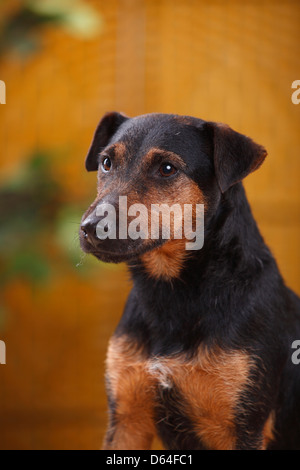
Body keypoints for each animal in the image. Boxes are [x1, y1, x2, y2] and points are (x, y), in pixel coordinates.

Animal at [79, 112, 300, 450]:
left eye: (167, 169)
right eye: (106, 163)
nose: (90, 228)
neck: (174, 292)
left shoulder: (244, 428)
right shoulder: (127, 418)